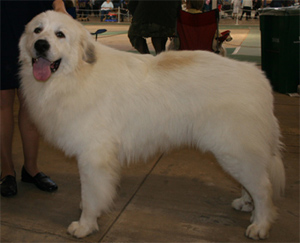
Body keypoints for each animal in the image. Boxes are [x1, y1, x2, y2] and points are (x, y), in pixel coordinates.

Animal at [19, 10, 286, 239]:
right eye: (37, 30)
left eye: (60, 34)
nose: (40, 45)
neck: (77, 74)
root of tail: (257, 76)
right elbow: (90, 193)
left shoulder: (93, 156)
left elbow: (92, 192)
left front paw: (85, 225)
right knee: (254, 184)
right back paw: (246, 204)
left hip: (234, 150)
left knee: (263, 188)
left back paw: (260, 225)